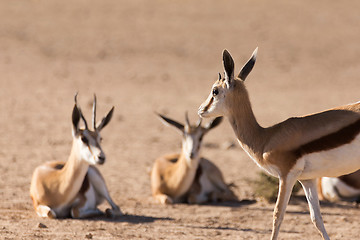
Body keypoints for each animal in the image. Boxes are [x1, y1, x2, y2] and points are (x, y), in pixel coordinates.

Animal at [198, 47, 360, 239]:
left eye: (215, 91)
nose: (201, 110)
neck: (265, 138)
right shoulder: (307, 180)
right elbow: (317, 219)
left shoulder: (286, 176)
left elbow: (278, 215)